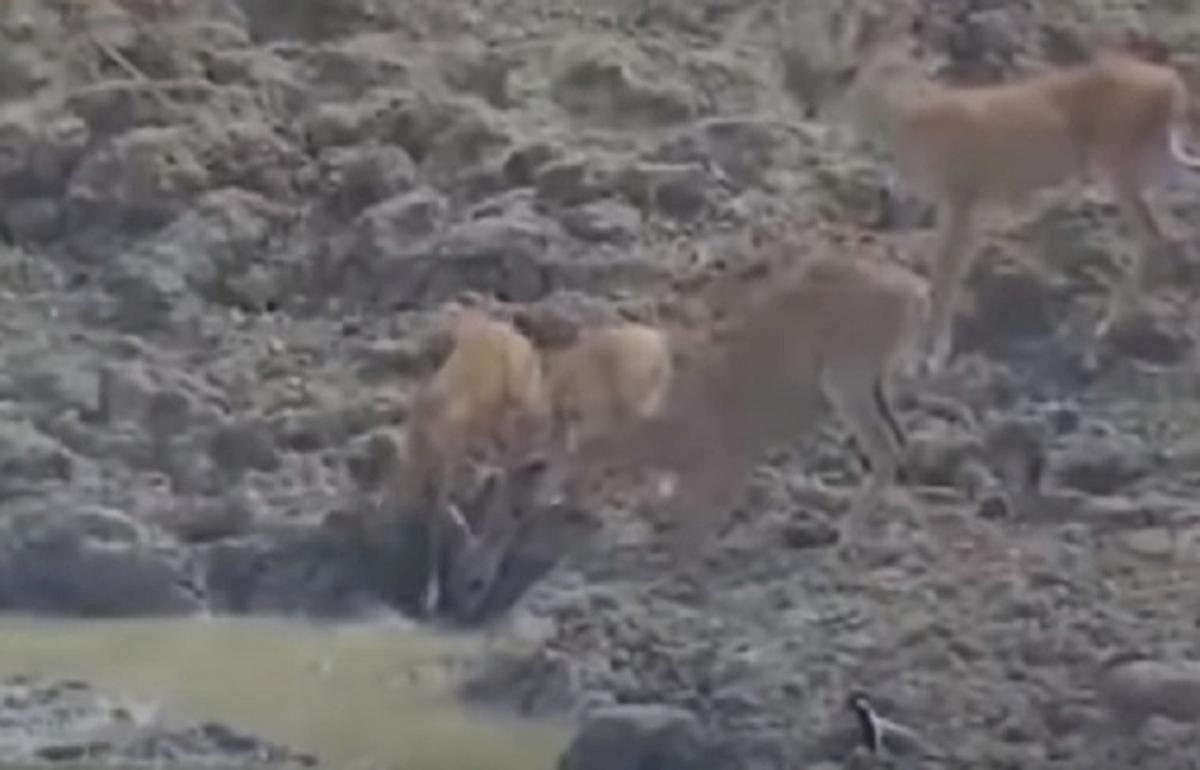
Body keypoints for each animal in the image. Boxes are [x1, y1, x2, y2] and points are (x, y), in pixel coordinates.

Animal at [846, 42, 1200, 373]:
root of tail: (1170, 84)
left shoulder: (961, 199)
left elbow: (945, 273)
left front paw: (932, 358)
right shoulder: (963, 206)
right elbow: (945, 269)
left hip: (1118, 165)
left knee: (1152, 240)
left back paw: (1094, 339)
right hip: (1152, 161)